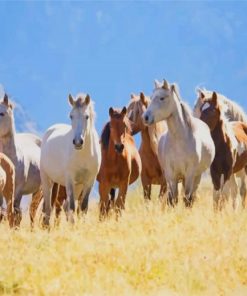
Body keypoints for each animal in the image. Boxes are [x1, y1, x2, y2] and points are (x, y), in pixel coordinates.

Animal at [41, 92, 101, 224]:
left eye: (86, 116)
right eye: (71, 116)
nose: (78, 142)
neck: (83, 154)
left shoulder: (89, 181)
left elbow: (83, 207)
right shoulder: (69, 180)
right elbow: (72, 207)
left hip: (78, 185)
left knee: (64, 206)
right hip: (47, 179)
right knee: (48, 208)